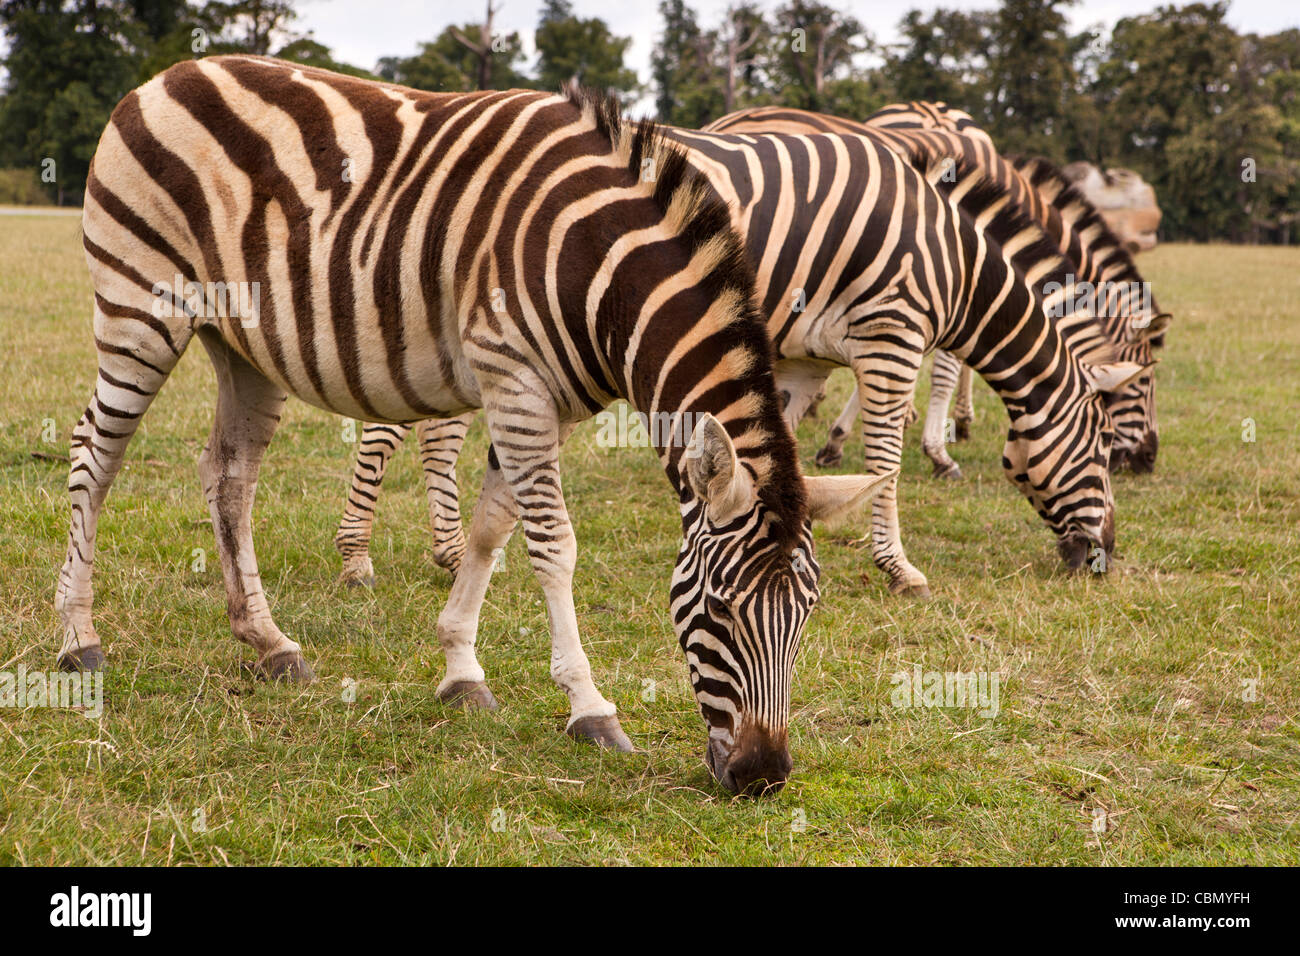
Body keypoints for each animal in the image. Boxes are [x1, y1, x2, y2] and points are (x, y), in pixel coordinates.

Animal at [55, 55, 894, 796]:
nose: (763, 776)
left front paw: (461, 670)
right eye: (719, 609)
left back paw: (267, 642)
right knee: (95, 453)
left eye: (808, 613)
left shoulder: (545, 403)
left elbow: (493, 529)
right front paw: (589, 708)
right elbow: (554, 546)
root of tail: (166, 74)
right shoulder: (514, 378)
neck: (601, 273)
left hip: (242, 345)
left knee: (228, 474)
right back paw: (79, 637)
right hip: (140, 305)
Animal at [338, 130, 1149, 600]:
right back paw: (357, 558)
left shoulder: (795, 359)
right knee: (387, 427)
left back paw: (449, 555)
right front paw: (900, 566)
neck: (950, 259)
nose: (1104, 558)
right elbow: (885, 460)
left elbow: (773, 453)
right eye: (1104, 445)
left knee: (431, 430)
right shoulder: (891, 333)